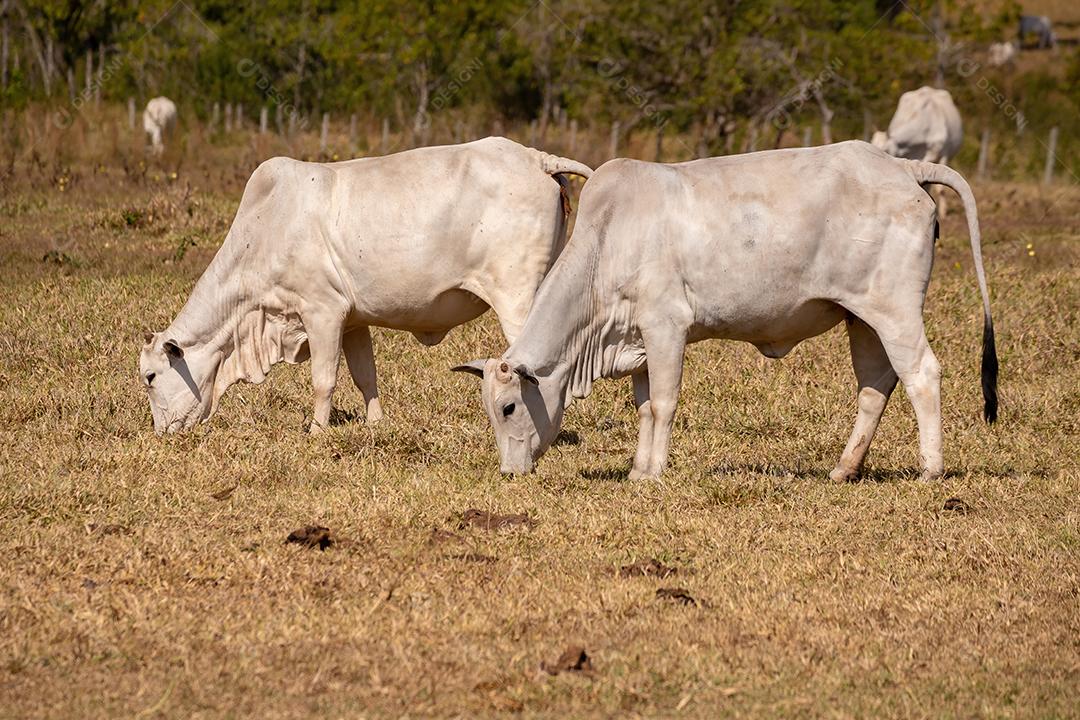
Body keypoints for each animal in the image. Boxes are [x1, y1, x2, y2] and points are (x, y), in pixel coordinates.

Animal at [139, 137, 592, 434]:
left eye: (150, 377)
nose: (162, 434)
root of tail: (536, 159)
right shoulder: (353, 320)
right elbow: (365, 376)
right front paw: (376, 424)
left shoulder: (321, 311)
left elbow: (324, 379)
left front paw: (316, 432)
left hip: (517, 296)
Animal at [454, 141, 997, 483]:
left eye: (509, 407)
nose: (509, 472)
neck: (610, 237)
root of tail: (901, 167)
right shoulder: (639, 341)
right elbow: (644, 406)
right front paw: (637, 468)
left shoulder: (666, 328)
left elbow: (664, 403)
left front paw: (653, 473)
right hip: (861, 317)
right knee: (875, 385)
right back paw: (845, 469)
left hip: (895, 309)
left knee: (921, 373)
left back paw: (930, 469)